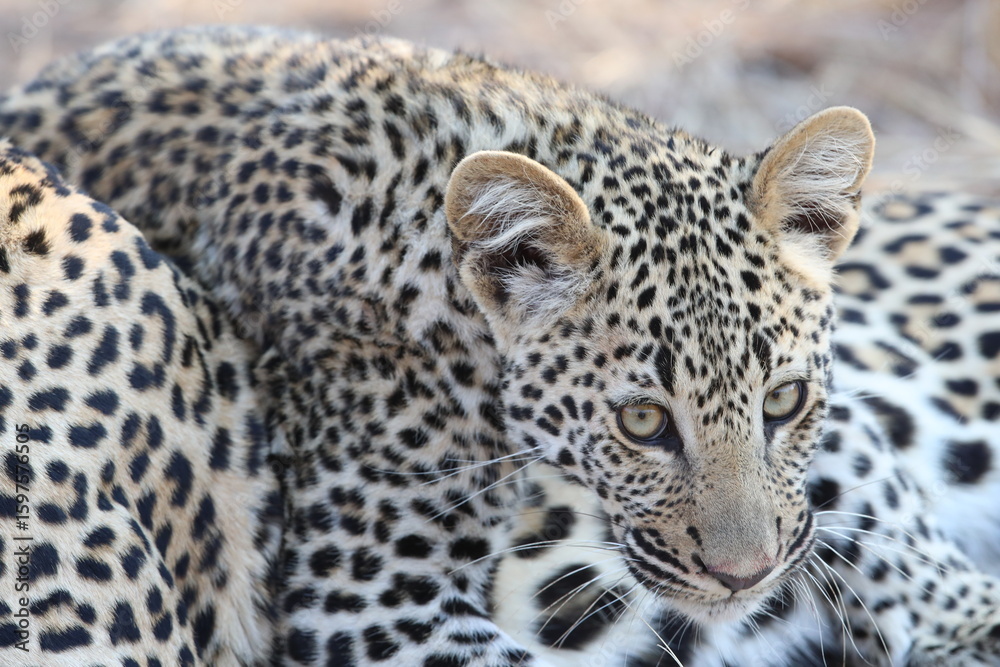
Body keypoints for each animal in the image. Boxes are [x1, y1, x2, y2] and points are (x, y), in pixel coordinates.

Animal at [1, 25, 998, 666]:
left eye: (784, 400)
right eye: (643, 422)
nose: (740, 577)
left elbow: (855, 480)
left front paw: (958, 619)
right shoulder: (370, 603)